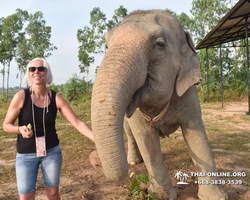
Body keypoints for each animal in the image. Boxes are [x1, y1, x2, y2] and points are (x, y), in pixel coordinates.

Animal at [91, 10, 228, 200]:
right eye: (106, 46)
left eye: (159, 45)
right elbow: (144, 138)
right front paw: (161, 195)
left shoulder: (188, 92)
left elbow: (196, 134)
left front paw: (216, 197)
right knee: (129, 133)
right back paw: (133, 160)